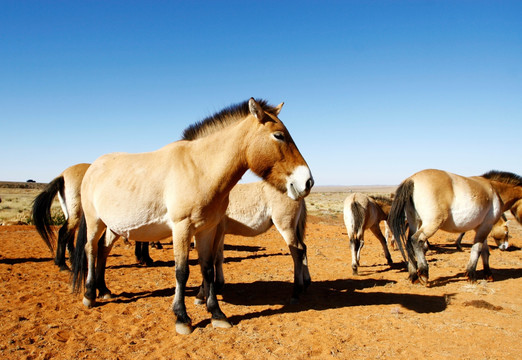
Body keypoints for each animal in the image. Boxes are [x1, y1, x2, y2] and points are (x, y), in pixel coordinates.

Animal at [69, 97, 312, 334]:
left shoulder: (207, 229)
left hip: (114, 226)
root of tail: (93, 167)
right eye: (279, 135)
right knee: (91, 249)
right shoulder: (182, 228)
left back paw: (104, 290)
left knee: (103, 250)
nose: (307, 182)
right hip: (95, 222)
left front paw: (216, 314)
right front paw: (182, 317)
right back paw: (89, 295)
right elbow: (182, 271)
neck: (200, 168)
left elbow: (207, 267)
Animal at [388, 170, 520, 286]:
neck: (495, 190)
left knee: (408, 243)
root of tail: (412, 179)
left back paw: (414, 276)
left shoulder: (481, 227)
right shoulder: (486, 226)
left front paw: (488, 274)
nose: (505, 247)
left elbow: (484, 251)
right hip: (431, 224)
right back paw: (424, 273)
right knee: (416, 240)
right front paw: (471, 275)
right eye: (507, 232)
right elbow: (477, 249)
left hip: (415, 223)